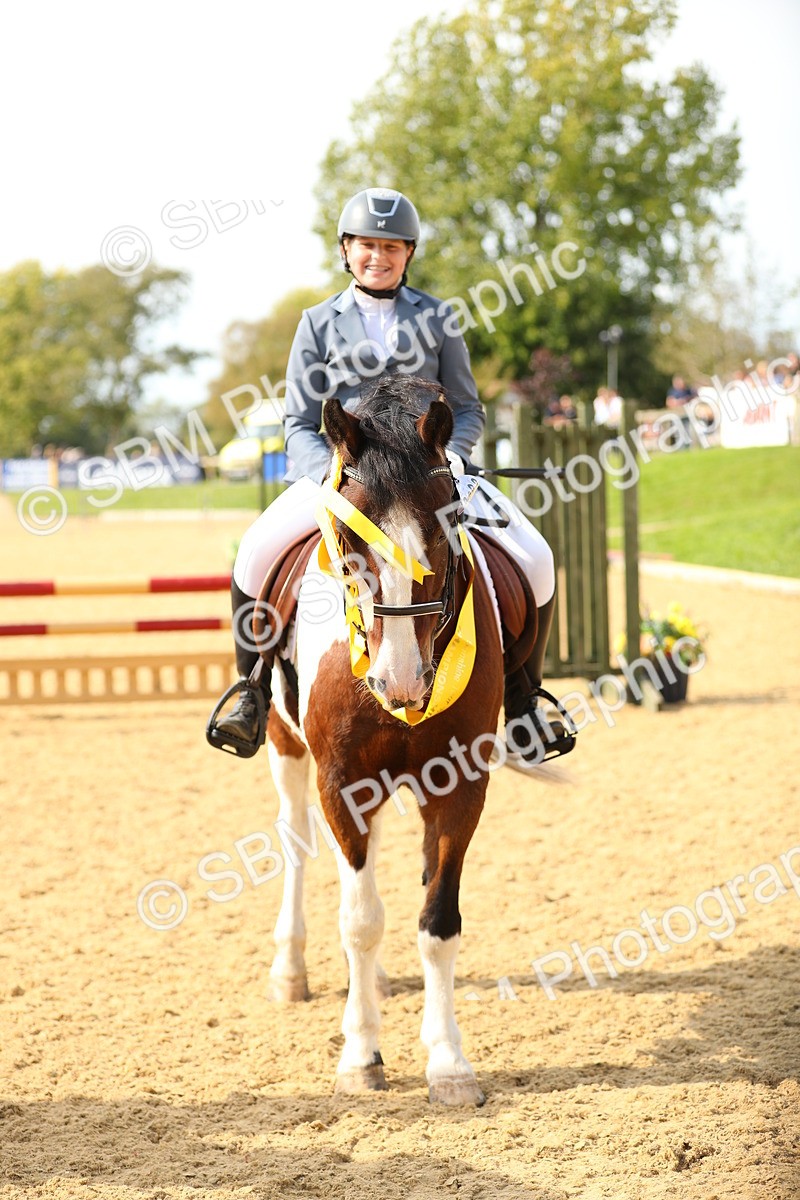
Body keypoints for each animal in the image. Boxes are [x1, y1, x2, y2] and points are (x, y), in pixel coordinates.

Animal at [259, 376, 504, 1106]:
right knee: (297, 843)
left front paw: (449, 1063)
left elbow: (438, 923)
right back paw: (290, 972)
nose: (400, 682)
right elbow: (361, 921)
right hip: (284, 746)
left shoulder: (460, 784)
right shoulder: (341, 781)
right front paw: (361, 1055)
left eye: (446, 526)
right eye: (347, 537)